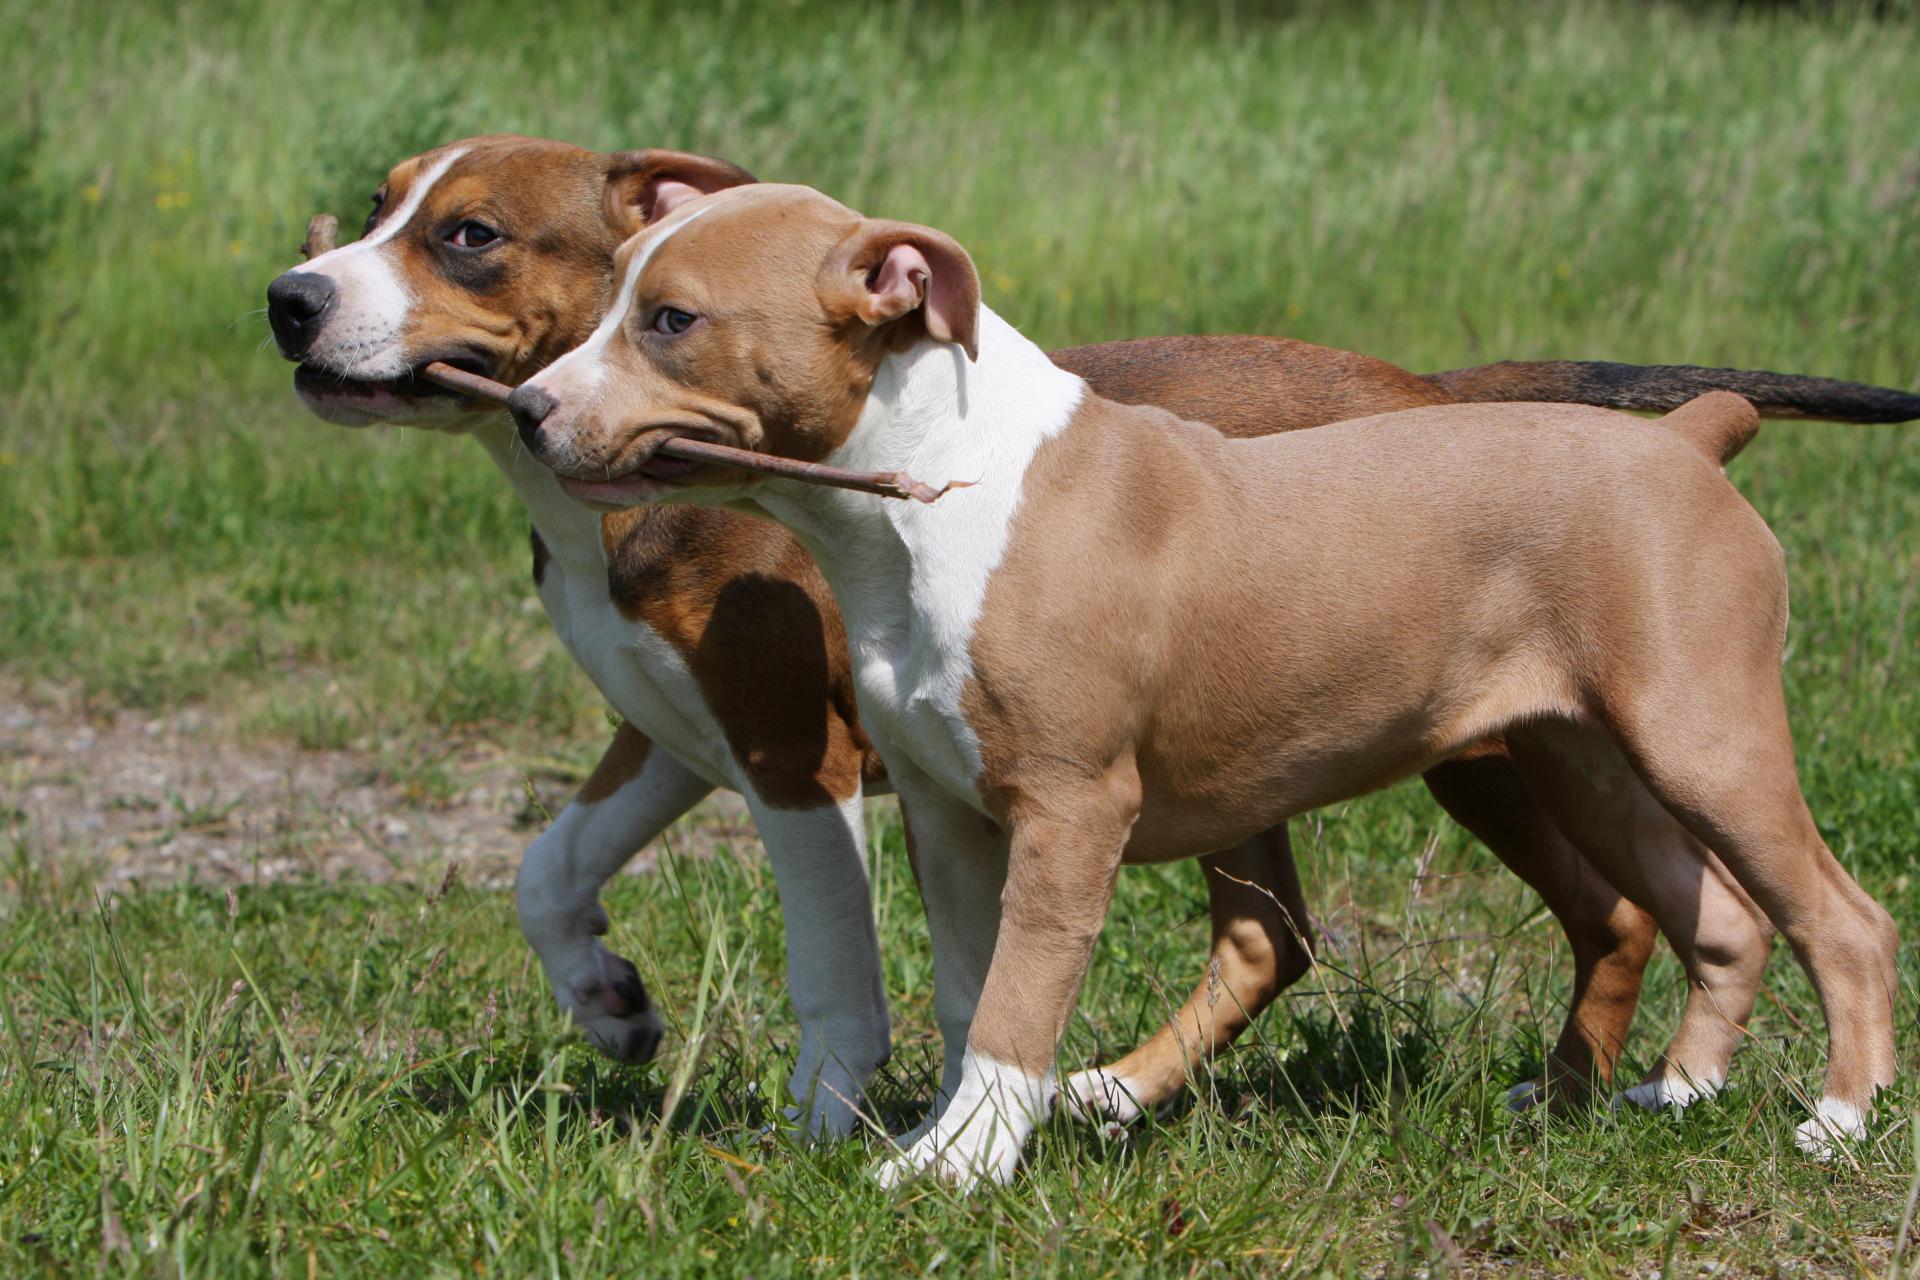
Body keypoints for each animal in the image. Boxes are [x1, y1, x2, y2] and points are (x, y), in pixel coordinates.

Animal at [266, 138, 1920, 1143]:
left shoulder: (805, 756)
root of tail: (1685, 439)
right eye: (375, 208)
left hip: (1597, 747)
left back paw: (1816, 1118)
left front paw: (840, 1123)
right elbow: (552, 870)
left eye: (469, 238)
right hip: (1536, 746)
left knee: (1756, 913)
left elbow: (845, 965)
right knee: (1637, 912)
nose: (290, 297)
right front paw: (610, 1007)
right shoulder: (684, 737)